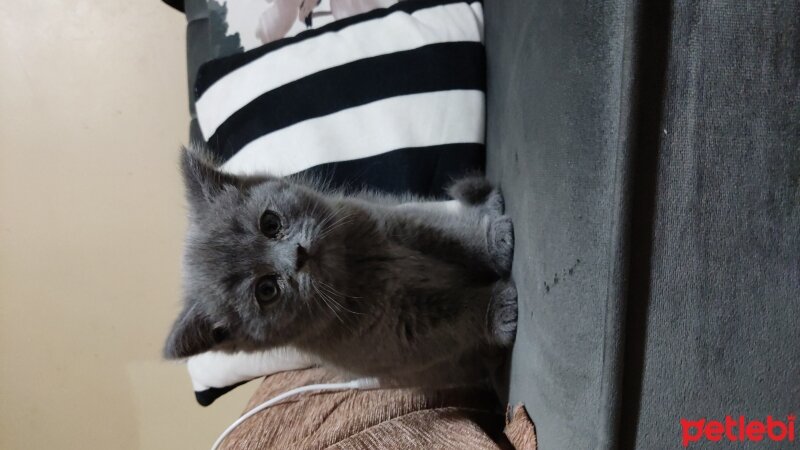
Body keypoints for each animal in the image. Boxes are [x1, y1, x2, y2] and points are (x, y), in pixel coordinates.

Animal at [165, 149, 516, 386]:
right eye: (266, 290)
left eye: (270, 223)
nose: (298, 254)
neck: (355, 267)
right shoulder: (401, 335)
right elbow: (457, 319)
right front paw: (498, 308)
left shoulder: (397, 221)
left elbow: (450, 236)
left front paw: (495, 243)